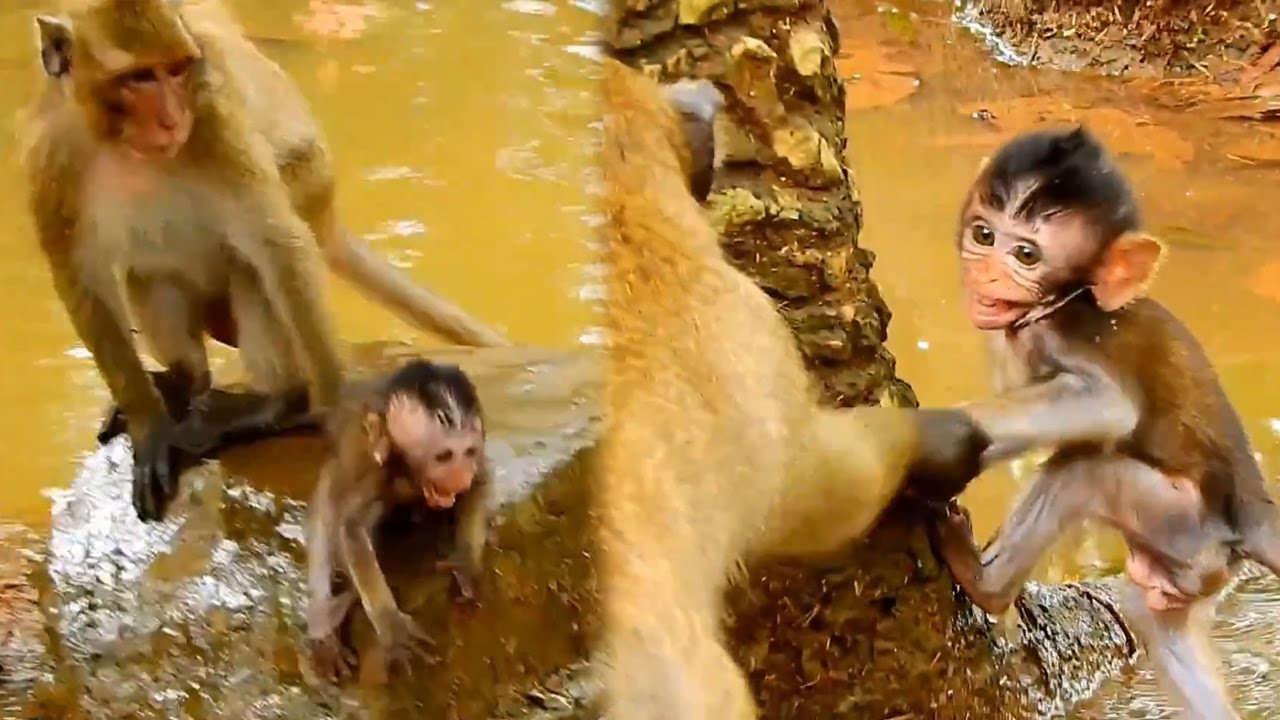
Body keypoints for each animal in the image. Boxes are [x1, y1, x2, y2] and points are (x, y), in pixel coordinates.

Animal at [22, 0, 509, 522]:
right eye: (139, 77)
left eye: (177, 70)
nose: (173, 118)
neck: (123, 145)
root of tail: (330, 215)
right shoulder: (51, 157)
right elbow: (82, 280)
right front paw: (149, 425)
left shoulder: (213, 122)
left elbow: (276, 243)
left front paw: (333, 413)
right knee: (148, 273)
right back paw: (184, 381)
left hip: (306, 186)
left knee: (254, 265)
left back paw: (281, 404)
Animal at [305, 358, 492, 682]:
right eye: (444, 456)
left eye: (467, 452)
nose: (460, 475)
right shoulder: (376, 469)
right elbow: (351, 527)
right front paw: (391, 624)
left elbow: (480, 483)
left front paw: (466, 561)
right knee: (332, 499)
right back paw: (325, 621)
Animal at [925, 125, 1280, 720]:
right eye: (983, 234)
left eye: (1026, 254)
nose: (986, 270)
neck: (1063, 299)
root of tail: (1250, 510)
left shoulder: (1065, 333)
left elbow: (1110, 405)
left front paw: (935, 436)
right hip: (1188, 565)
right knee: (1154, 619)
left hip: (1180, 520)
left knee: (1087, 469)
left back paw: (985, 584)